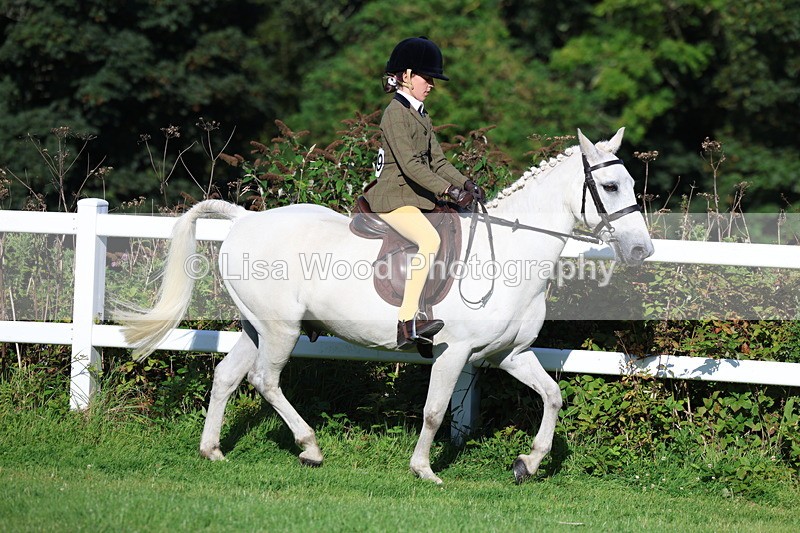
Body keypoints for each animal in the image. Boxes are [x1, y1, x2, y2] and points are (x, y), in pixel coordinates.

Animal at [120, 128, 654, 484]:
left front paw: (528, 462)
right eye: (609, 187)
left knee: (227, 376)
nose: (641, 250)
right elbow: (435, 411)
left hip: (257, 327)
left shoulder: (509, 355)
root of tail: (244, 219)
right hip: (280, 329)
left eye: (630, 184)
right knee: (264, 380)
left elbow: (553, 396)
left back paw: (212, 451)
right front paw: (424, 470)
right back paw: (310, 448)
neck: (509, 255)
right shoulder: (454, 352)